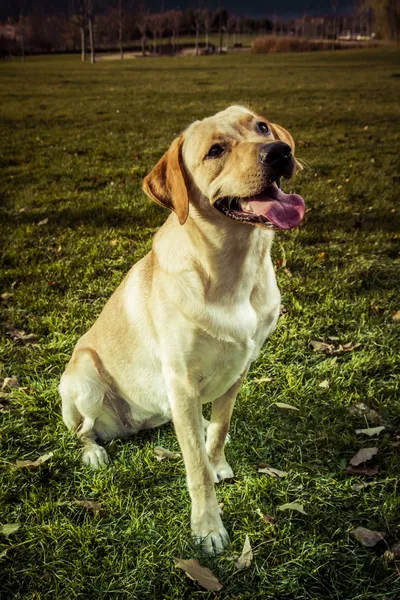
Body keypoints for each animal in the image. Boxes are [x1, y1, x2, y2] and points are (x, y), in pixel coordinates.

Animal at [59, 106, 304, 552]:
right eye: (215, 151)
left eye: (260, 126)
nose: (279, 151)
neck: (233, 267)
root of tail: (130, 425)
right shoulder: (182, 381)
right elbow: (195, 468)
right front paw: (208, 527)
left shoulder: (239, 369)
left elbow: (221, 430)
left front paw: (218, 458)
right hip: (83, 378)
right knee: (82, 431)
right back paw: (93, 453)